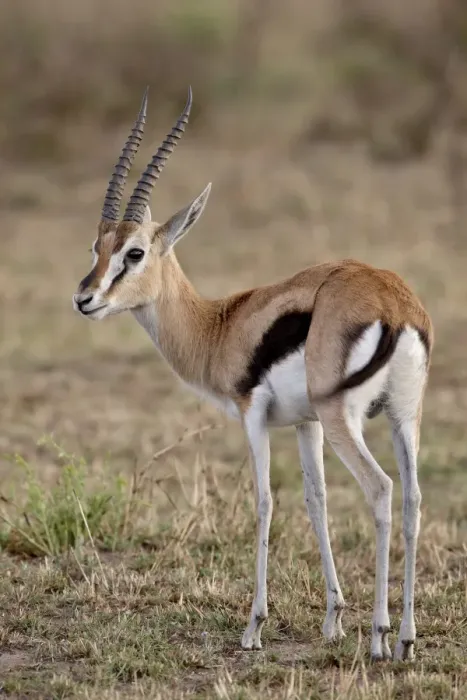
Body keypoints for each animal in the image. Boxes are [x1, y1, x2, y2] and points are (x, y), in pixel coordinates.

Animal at [73, 87, 433, 661]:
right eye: (97, 246)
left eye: (135, 252)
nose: (84, 299)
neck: (220, 325)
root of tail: (396, 305)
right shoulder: (306, 423)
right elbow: (316, 500)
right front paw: (333, 619)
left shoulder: (253, 414)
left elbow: (263, 501)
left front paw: (254, 627)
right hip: (403, 417)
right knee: (414, 498)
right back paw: (405, 638)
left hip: (345, 419)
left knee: (380, 489)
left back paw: (379, 637)